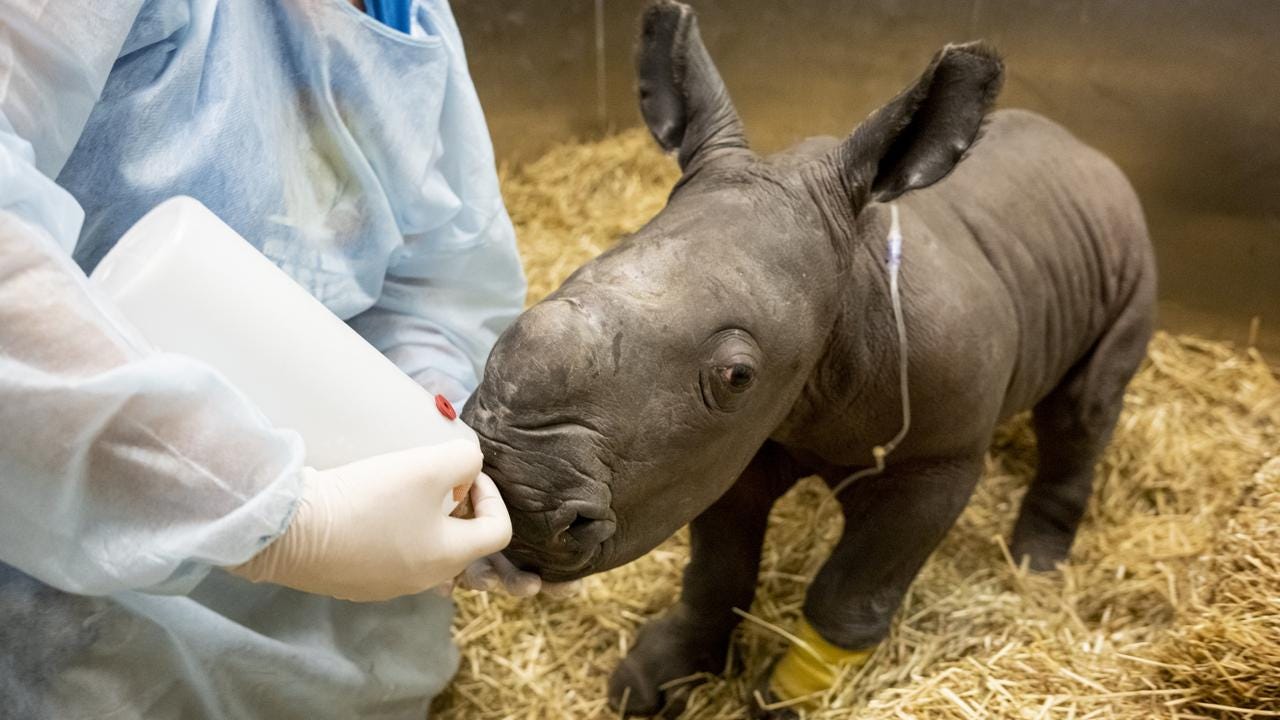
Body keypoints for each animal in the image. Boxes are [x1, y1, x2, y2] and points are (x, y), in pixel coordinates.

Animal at [462, 1, 1155, 715]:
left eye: (737, 376)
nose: (517, 494)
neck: (851, 290)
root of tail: (1086, 150)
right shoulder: (721, 450)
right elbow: (717, 572)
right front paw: (653, 680)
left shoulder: (940, 457)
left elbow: (850, 593)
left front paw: (788, 696)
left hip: (1130, 259)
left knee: (1084, 407)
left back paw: (1036, 566)